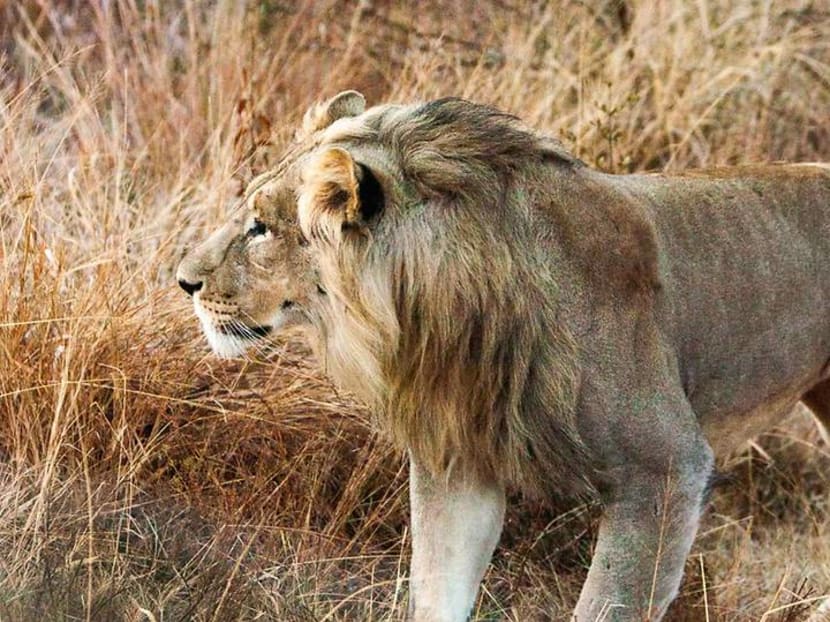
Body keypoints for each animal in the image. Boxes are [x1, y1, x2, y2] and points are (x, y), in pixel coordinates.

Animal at [176, 90, 830, 621]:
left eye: (261, 228)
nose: (183, 281)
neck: (438, 311)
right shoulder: (459, 460)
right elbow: (437, 588)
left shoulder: (664, 467)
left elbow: (607, 604)